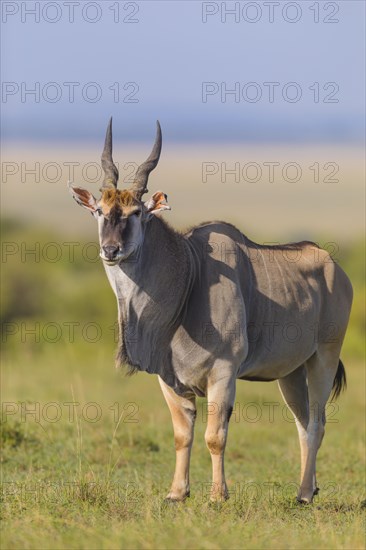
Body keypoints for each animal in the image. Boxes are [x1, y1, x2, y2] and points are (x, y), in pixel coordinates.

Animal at [68, 119, 352, 504]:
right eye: (99, 210)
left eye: (136, 213)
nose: (111, 250)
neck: (191, 273)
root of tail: (335, 268)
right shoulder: (169, 380)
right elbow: (182, 434)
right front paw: (177, 493)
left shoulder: (223, 373)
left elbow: (215, 436)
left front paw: (218, 495)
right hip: (290, 373)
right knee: (303, 423)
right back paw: (307, 487)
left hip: (323, 358)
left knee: (318, 423)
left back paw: (305, 494)